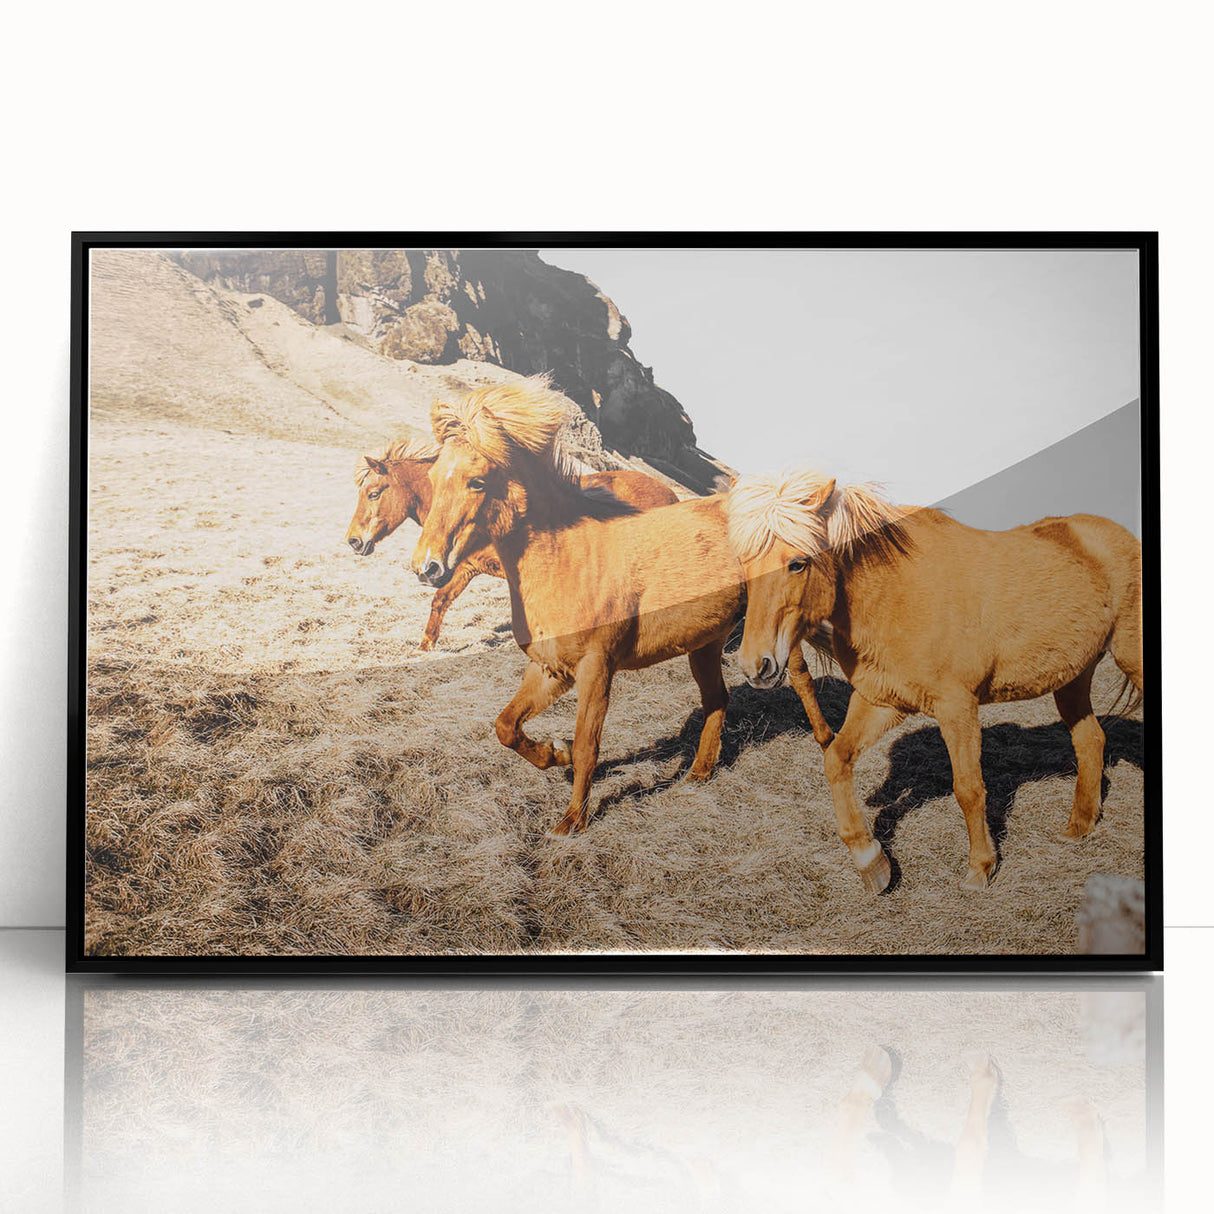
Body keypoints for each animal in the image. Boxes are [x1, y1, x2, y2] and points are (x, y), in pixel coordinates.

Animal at [346, 435, 679, 650]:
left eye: (373, 493)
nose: (353, 541)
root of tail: (669, 494)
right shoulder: (466, 568)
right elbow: (441, 600)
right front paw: (425, 647)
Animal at [410, 376, 835, 835]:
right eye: (431, 476)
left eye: (477, 481)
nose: (426, 567)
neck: (570, 560)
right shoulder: (550, 669)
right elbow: (506, 727)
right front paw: (554, 753)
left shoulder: (596, 669)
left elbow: (588, 745)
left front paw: (572, 821)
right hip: (704, 643)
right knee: (717, 699)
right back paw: (699, 773)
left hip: (772, 633)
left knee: (800, 678)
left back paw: (827, 741)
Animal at [727, 469, 1143, 894]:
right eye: (744, 564)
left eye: (797, 563)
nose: (755, 665)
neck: (897, 593)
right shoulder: (881, 701)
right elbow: (835, 759)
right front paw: (871, 861)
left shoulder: (957, 707)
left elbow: (969, 789)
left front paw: (980, 869)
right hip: (1072, 678)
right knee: (1091, 740)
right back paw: (1078, 827)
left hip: (1132, 658)